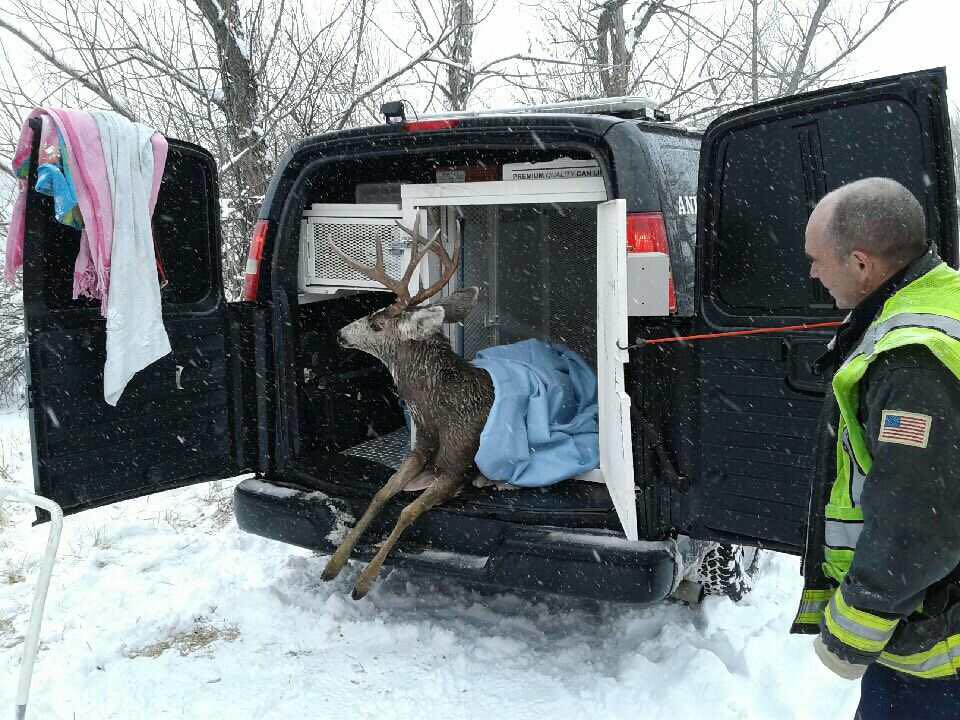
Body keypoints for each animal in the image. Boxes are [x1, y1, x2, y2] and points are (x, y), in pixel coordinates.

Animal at [320, 219, 495, 600]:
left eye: (376, 323)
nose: (340, 333)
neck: (437, 413)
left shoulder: (456, 467)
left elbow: (408, 511)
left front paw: (363, 582)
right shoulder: (419, 451)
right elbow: (381, 493)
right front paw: (333, 564)